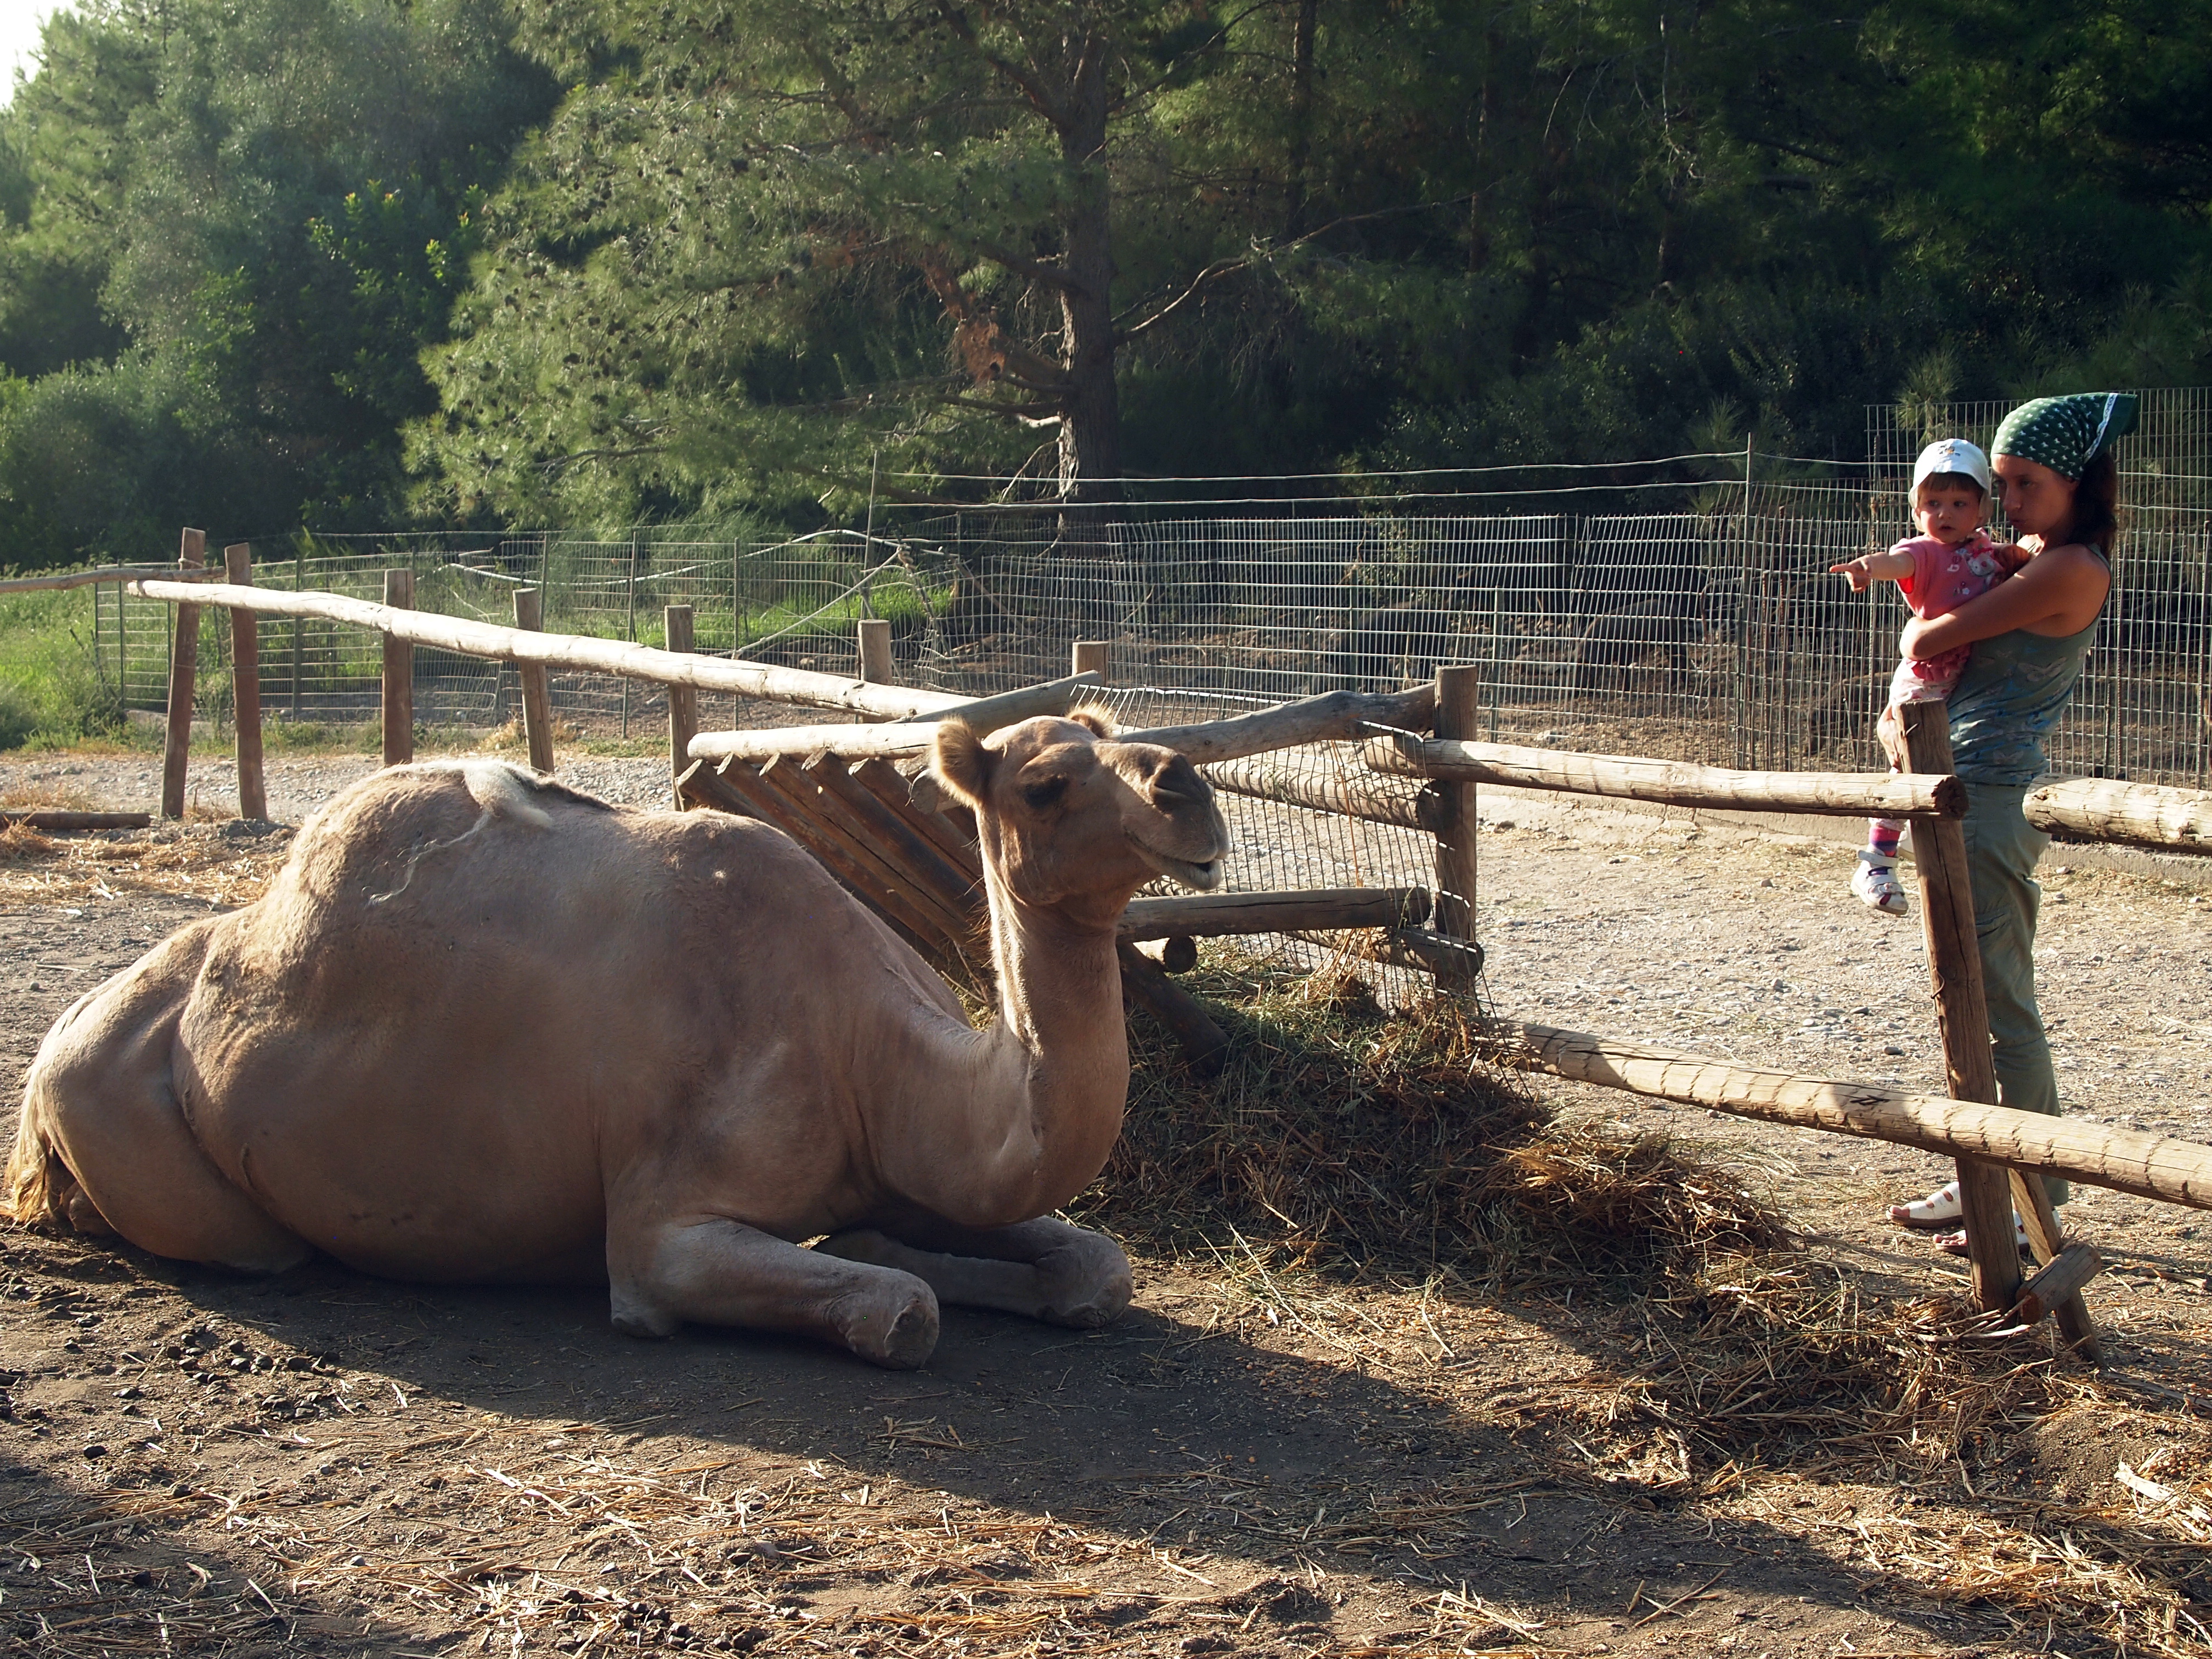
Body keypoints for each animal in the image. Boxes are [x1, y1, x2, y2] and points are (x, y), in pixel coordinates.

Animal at [5, 712, 1229, 1368]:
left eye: (1116, 734)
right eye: (1045, 782)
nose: (1187, 786)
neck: (872, 1057)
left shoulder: (911, 1167)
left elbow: (1096, 1268)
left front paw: (896, 1245)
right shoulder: (660, 1227)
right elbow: (900, 1310)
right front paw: (885, 1270)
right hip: (138, 1132)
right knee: (259, 1246)